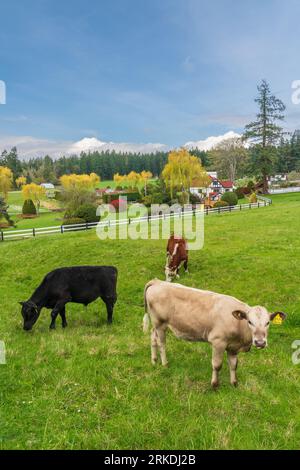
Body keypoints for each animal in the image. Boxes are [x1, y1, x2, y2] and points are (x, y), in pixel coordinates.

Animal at [143, 280, 286, 388]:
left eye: (268, 323)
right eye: (249, 321)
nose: (260, 342)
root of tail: (157, 281)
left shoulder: (233, 347)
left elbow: (234, 365)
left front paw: (234, 383)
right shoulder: (218, 342)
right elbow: (217, 365)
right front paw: (215, 385)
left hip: (155, 325)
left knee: (152, 338)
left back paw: (154, 361)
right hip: (160, 324)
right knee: (162, 343)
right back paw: (165, 364)